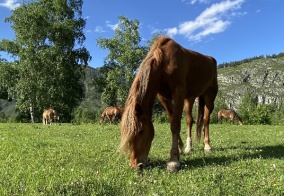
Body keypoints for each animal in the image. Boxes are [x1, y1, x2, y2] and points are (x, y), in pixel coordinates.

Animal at [119, 36, 217, 172]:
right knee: (189, 120)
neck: (164, 63)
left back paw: (207, 146)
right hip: (189, 99)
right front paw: (181, 148)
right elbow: (172, 120)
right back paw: (189, 147)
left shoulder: (178, 93)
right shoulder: (163, 97)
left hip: (209, 97)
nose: (136, 165)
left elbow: (175, 125)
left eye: (141, 131)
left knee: (206, 120)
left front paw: (174, 160)